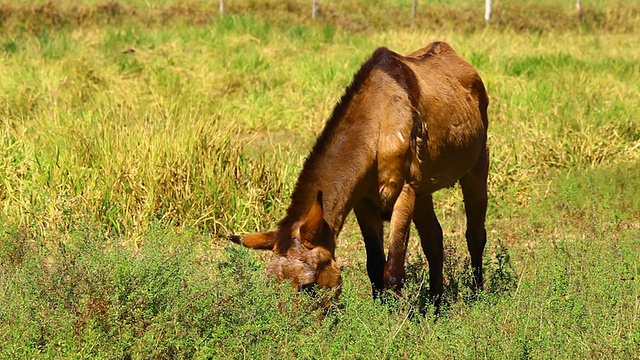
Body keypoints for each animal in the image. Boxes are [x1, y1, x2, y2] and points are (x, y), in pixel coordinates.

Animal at [230, 40, 490, 302]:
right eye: (271, 286)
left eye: (309, 285)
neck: (379, 122)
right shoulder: (364, 201)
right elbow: (374, 266)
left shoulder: (404, 193)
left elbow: (393, 270)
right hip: (423, 191)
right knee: (433, 239)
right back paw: (436, 303)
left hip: (477, 165)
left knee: (475, 234)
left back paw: (477, 295)